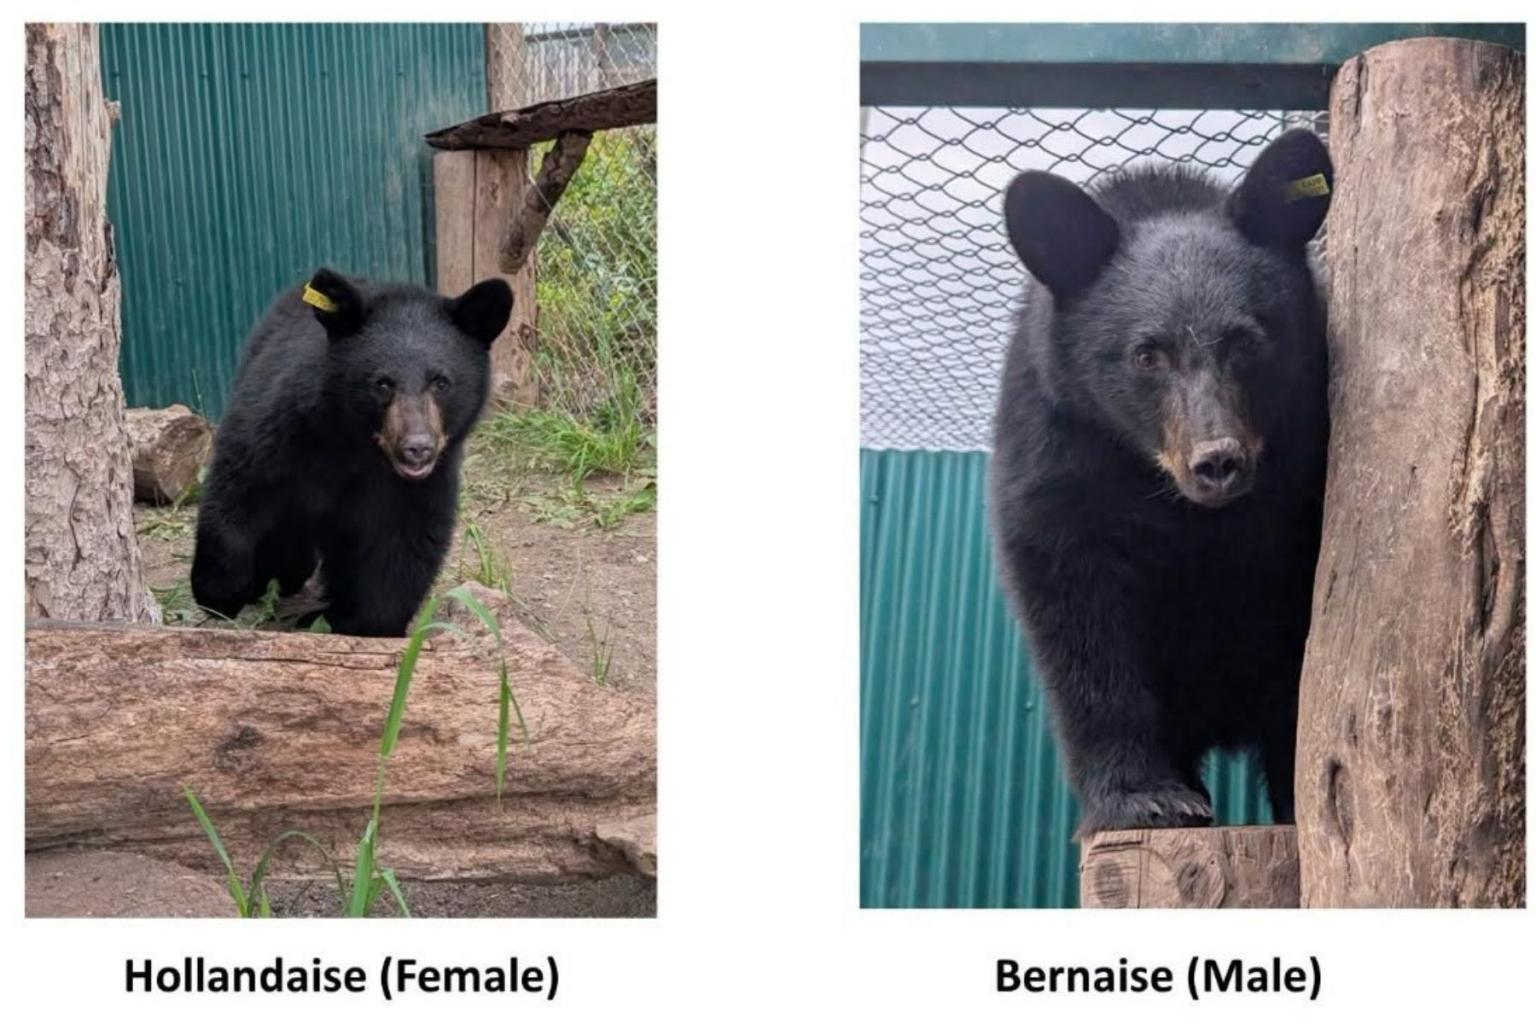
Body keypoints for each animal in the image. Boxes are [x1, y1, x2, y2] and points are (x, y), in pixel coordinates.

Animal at [190, 267, 512, 637]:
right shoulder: (282, 428)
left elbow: (404, 543)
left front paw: (356, 621)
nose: (417, 448)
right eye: (383, 383)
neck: (355, 445)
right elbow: (239, 487)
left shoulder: (421, 483)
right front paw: (221, 593)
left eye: (441, 382)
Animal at [988, 129, 1333, 835]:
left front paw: (1296, 796)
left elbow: (1298, 646)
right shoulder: (1056, 450)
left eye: (1248, 341)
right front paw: (1144, 798)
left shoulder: (1303, 464)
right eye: (1147, 354)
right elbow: (1077, 617)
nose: (1217, 461)